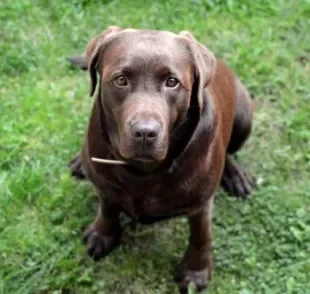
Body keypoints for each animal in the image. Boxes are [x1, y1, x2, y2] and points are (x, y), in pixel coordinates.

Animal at [67, 26, 254, 292]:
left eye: (172, 82)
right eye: (121, 80)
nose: (145, 132)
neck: (144, 170)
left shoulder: (201, 202)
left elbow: (201, 234)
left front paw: (195, 270)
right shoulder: (105, 184)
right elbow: (107, 206)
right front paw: (103, 234)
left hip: (244, 117)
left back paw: (235, 175)